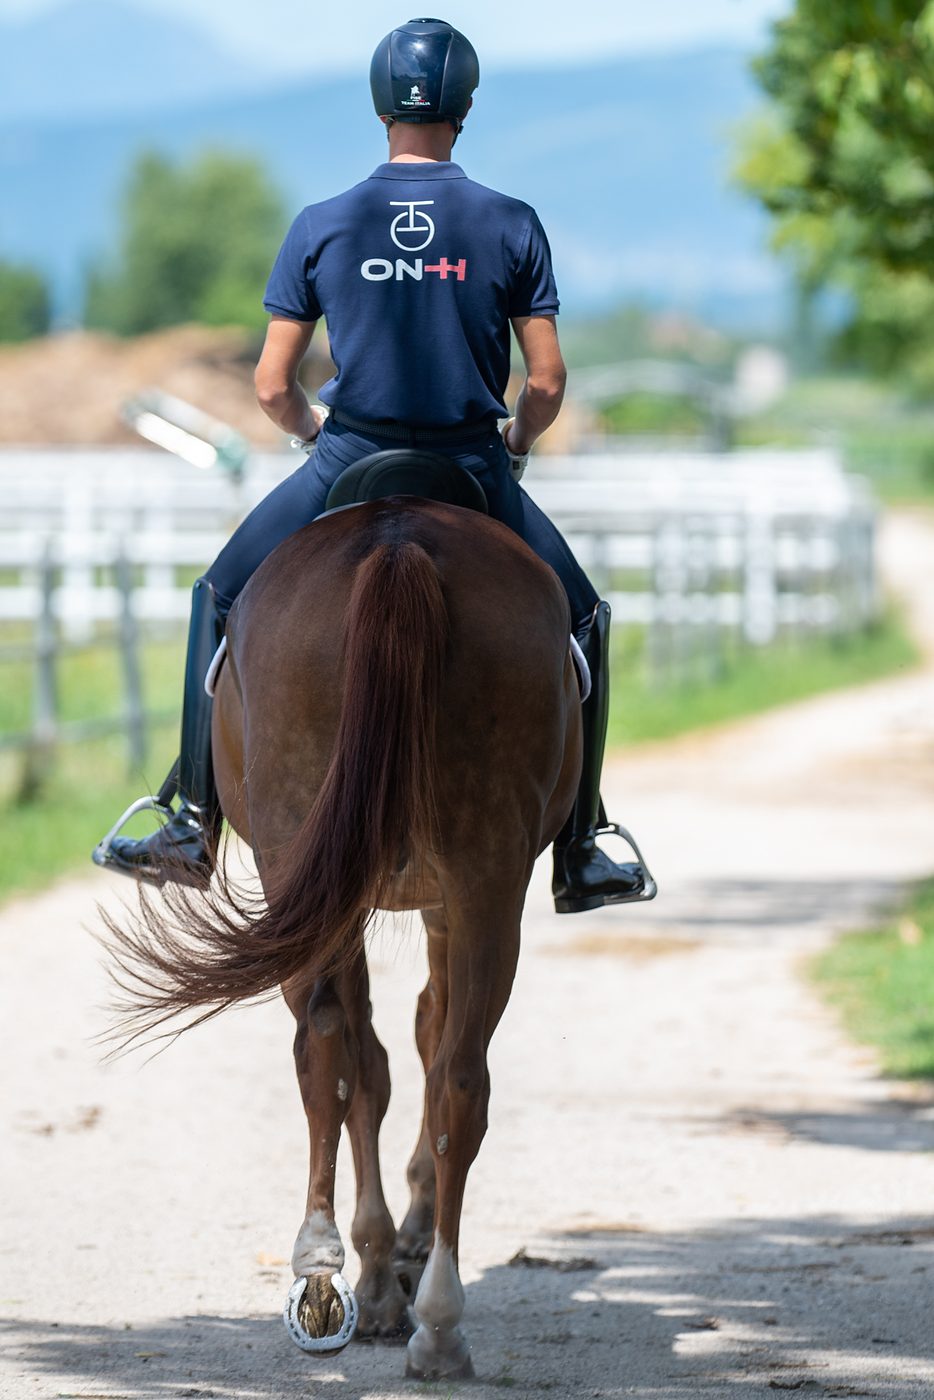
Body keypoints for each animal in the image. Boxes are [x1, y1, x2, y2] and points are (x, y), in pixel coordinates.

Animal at [105, 488, 582, 1380]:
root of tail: (400, 543)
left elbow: (382, 1056)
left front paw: (382, 1264)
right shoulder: (430, 898)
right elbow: (409, 1048)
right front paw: (392, 1257)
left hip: (339, 865)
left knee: (341, 1050)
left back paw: (347, 1282)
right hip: (477, 876)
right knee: (441, 1073)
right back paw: (420, 1311)